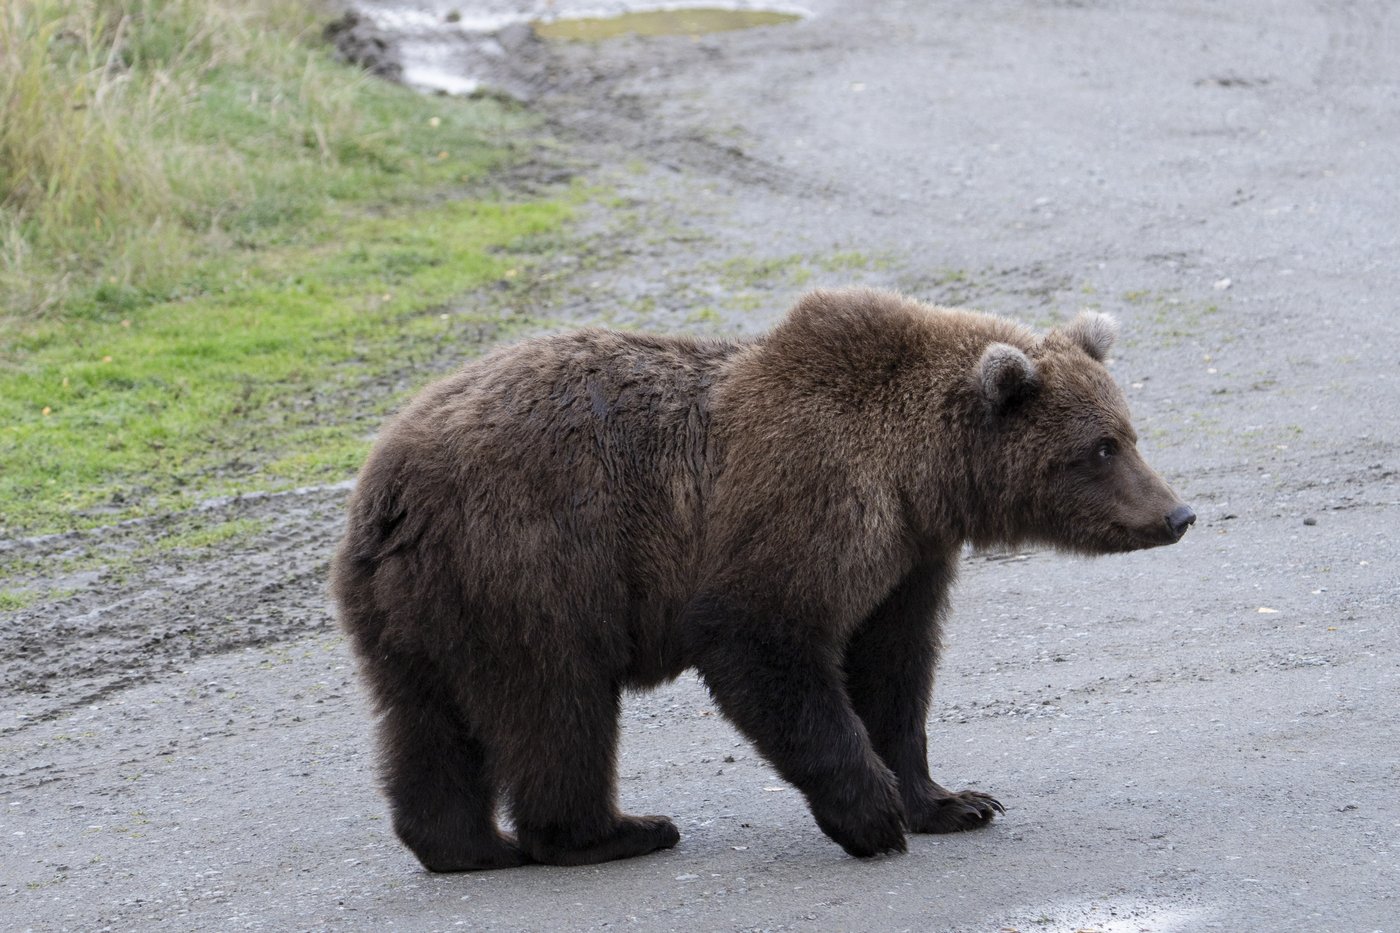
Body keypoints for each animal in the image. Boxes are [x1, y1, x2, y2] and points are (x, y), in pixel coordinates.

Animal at [330, 287, 1194, 871]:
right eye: (1100, 447)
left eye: (1128, 432)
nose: (1177, 513)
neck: (918, 476)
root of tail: (383, 490)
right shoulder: (808, 499)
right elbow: (764, 641)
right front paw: (873, 812)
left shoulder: (907, 556)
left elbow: (894, 669)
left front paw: (953, 799)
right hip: (534, 565)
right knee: (556, 706)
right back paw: (613, 830)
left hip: (422, 607)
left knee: (425, 720)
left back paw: (463, 843)